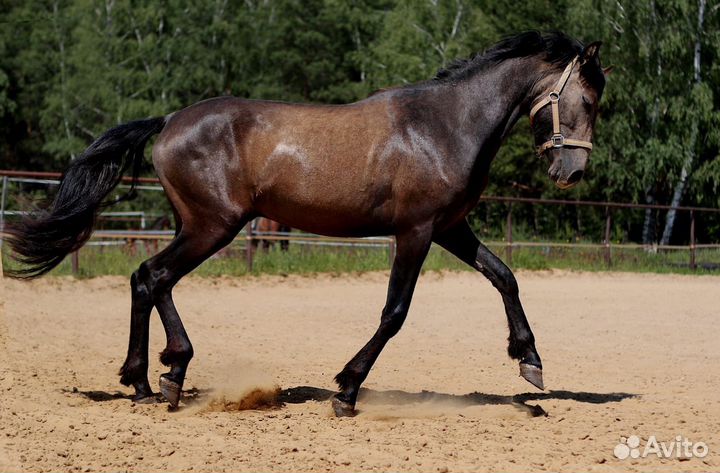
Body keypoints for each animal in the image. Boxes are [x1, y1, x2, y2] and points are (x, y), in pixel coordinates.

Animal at [6, 31, 608, 417]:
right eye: (587, 97)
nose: (571, 172)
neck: (444, 125)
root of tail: (170, 120)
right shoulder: (416, 231)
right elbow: (394, 313)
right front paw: (346, 390)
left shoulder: (449, 227)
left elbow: (504, 276)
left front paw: (530, 361)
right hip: (212, 226)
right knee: (153, 277)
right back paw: (163, 377)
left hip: (198, 226)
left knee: (147, 279)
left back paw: (149, 381)